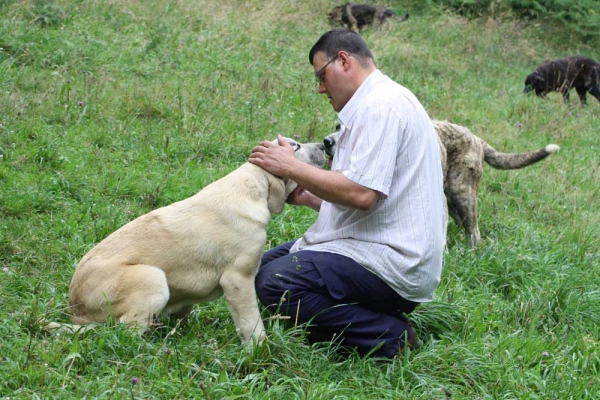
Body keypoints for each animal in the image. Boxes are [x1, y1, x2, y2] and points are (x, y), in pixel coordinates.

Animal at [46, 138, 326, 344]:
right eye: (294, 146)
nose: (324, 145)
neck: (251, 189)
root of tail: (76, 311)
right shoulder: (237, 280)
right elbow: (251, 325)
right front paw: (259, 350)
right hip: (153, 278)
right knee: (122, 333)